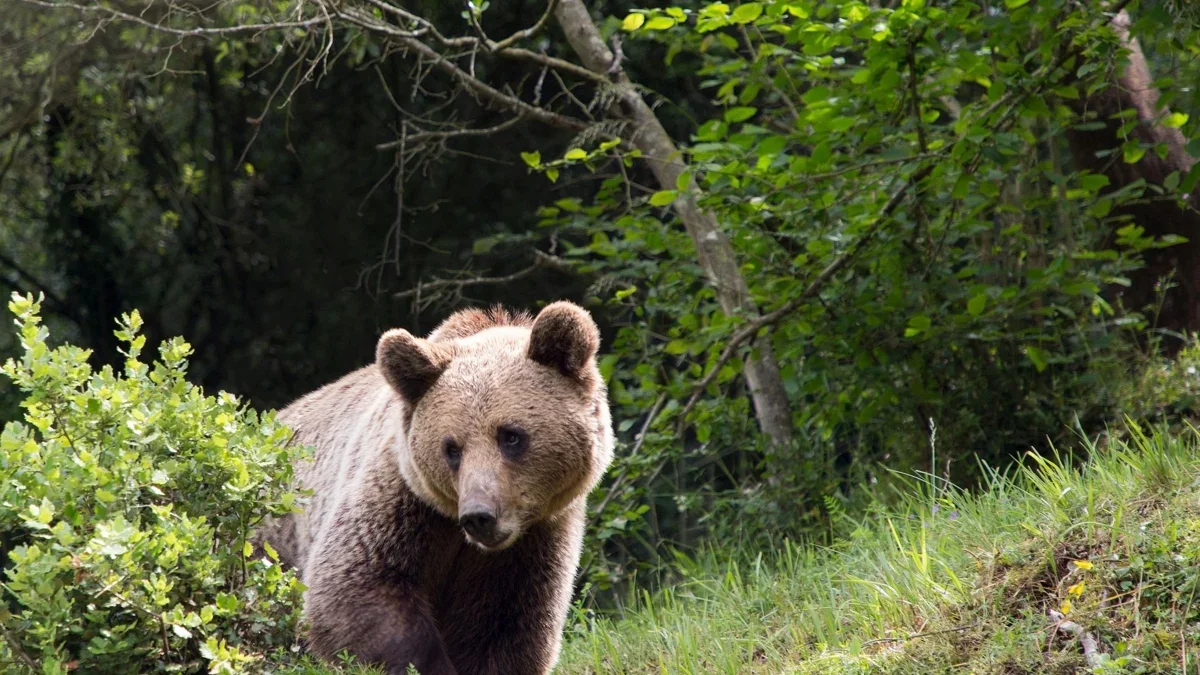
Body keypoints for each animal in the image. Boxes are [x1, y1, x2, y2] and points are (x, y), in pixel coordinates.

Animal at [256, 301, 614, 675]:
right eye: (451, 448)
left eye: (511, 435)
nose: (479, 516)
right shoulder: (401, 503)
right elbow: (356, 588)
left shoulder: (534, 541)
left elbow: (506, 625)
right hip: (273, 538)